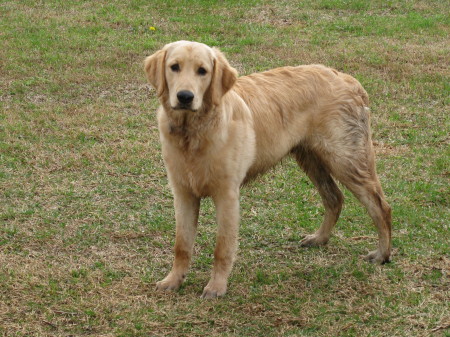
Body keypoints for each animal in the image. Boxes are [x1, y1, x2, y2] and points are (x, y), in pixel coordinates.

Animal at [144, 41, 390, 296]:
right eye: (174, 67)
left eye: (203, 71)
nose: (185, 96)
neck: (193, 132)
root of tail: (348, 79)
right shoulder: (183, 193)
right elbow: (182, 245)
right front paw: (173, 280)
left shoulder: (227, 195)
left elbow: (222, 248)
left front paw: (216, 286)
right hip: (311, 159)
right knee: (334, 198)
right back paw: (320, 238)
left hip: (347, 160)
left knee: (380, 206)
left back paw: (382, 255)